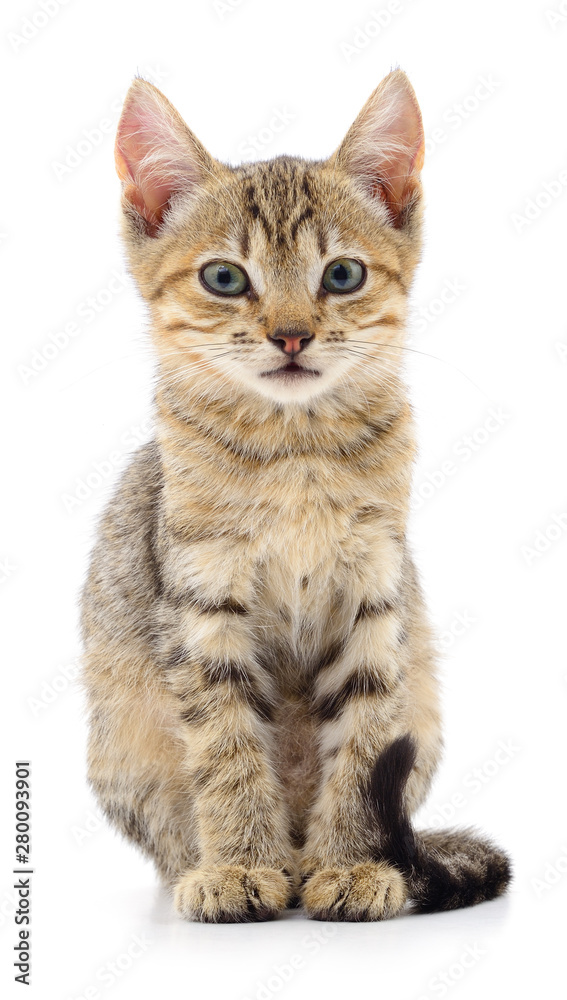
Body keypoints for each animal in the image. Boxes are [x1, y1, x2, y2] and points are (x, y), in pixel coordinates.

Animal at [82, 70, 512, 920]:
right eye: (223, 278)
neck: (295, 455)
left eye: (341, 275)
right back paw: (229, 862)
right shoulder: (199, 608)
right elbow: (226, 748)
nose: (289, 335)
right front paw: (241, 865)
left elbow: (364, 747)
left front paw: (348, 865)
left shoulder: (376, 599)